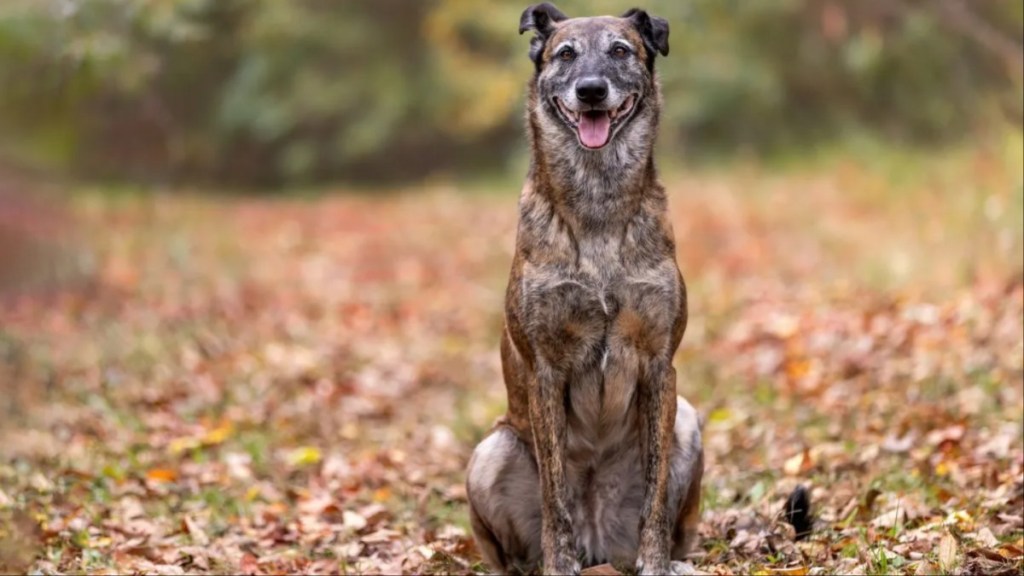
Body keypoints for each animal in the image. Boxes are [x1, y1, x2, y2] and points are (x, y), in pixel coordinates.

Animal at [468, 3, 704, 569]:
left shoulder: (659, 364)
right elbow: (554, 494)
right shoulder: (546, 370)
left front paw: (655, 565)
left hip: (688, 420)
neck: (598, 199)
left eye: (620, 50)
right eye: (565, 54)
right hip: (488, 453)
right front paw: (560, 565)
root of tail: (600, 544)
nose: (592, 90)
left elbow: (655, 494)